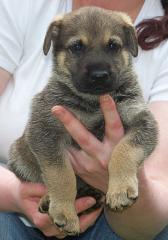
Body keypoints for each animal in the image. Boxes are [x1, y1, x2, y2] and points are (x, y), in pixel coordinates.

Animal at [8, 6, 158, 235]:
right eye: (77, 46)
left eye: (113, 45)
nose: (99, 75)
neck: (93, 102)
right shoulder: (45, 129)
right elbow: (61, 174)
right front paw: (64, 211)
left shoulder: (142, 120)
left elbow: (124, 150)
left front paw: (120, 189)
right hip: (18, 155)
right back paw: (48, 199)